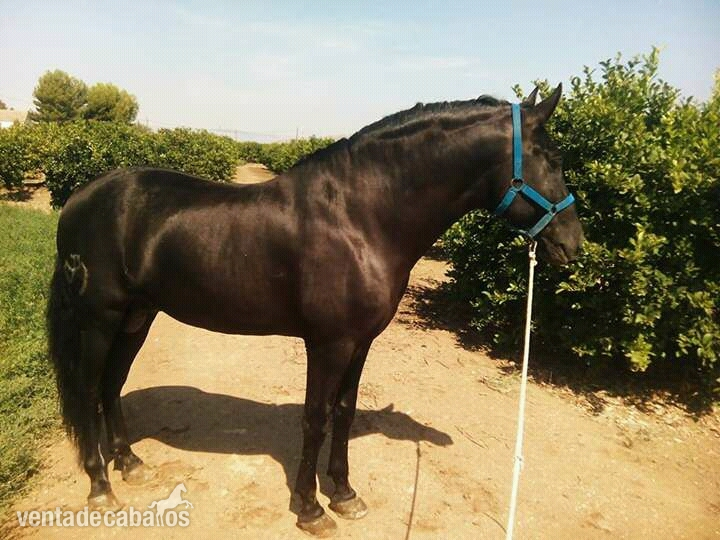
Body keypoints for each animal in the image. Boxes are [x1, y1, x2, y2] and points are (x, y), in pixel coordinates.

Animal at [47, 85, 583, 536]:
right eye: (554, 159)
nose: (573, 244)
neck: (360, 216)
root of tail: (79, 198)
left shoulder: (360, 342)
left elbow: (344, 414)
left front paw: (344, 494)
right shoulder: (328, 343)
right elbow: (315, 418)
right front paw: (309, 508)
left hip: (138, 317)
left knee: (112, 385)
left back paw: (130, 463)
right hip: (100, 318)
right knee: (89, 389)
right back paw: (101, 487)